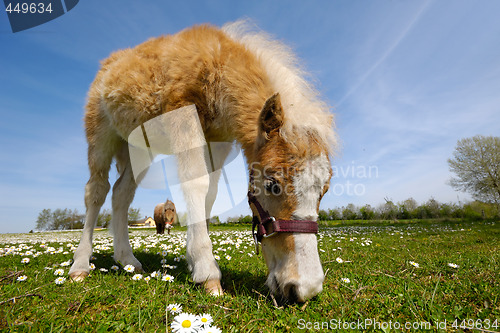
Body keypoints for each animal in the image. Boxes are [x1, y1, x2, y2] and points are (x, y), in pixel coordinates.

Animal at [69, 20, 336, 300]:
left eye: (324, 191)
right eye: (272, 184)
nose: (304, 288)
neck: (217, 65)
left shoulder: (219, 140)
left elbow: (211, 192)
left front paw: (194, 261)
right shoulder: (183, 115)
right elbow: (196, 183)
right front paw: (208, 273)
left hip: (138, 149)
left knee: (122, 193)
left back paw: (126, 259)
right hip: (101, 135)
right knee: (97, 191)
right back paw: (80, 265)